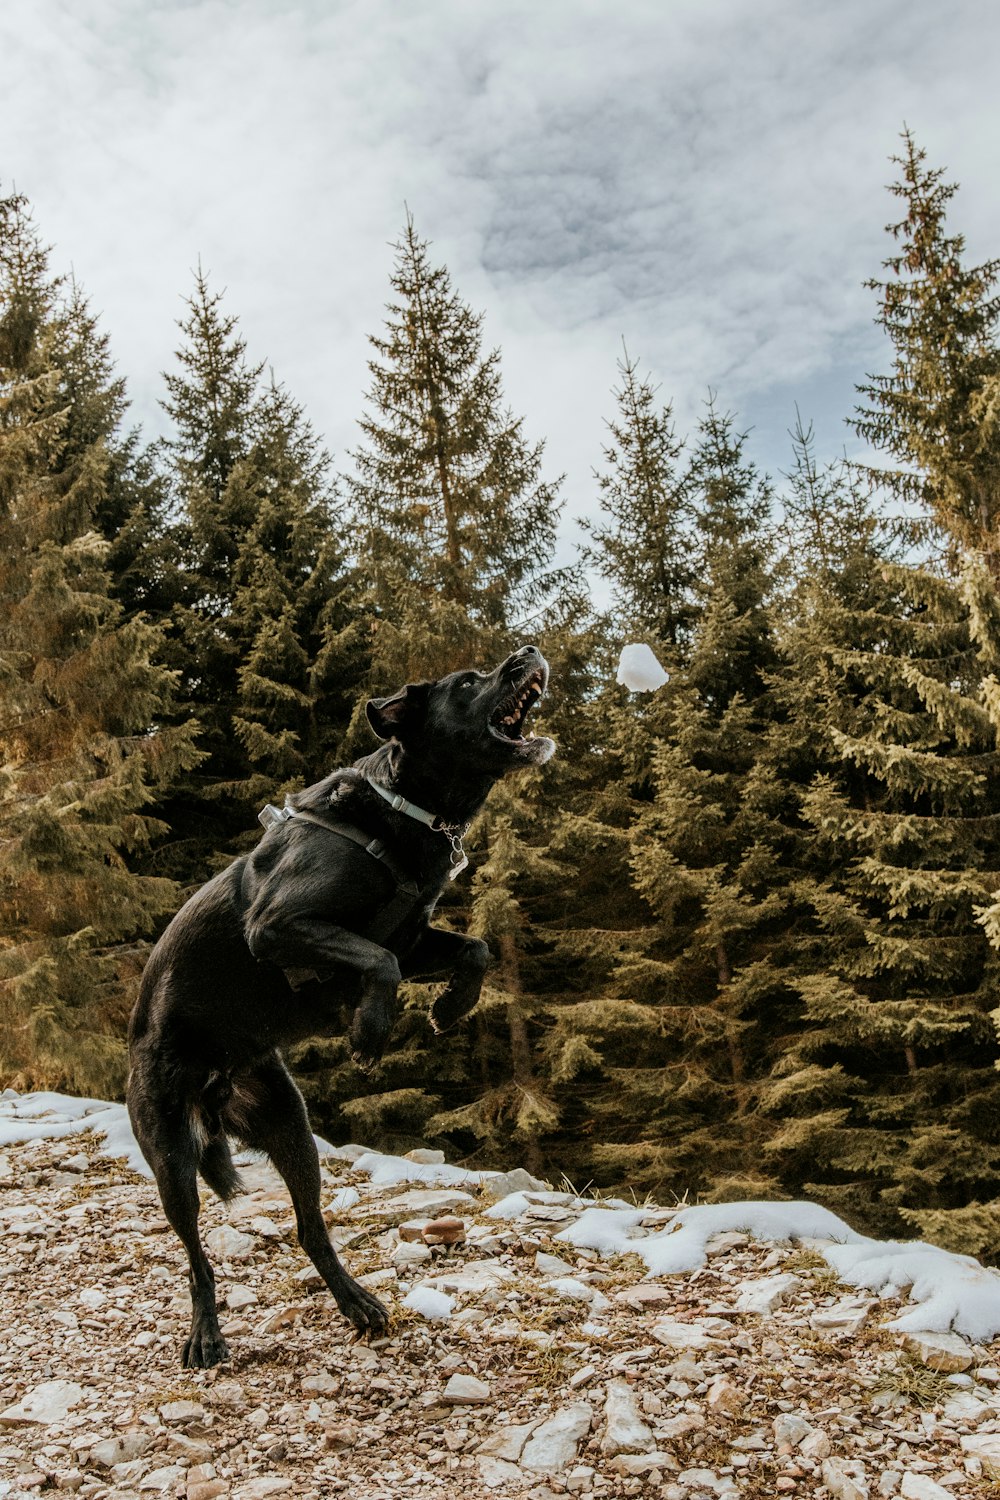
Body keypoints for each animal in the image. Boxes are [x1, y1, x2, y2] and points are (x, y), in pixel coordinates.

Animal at [127, 639, 554, 1368]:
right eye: (470, 681)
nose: (528, 647)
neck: (404, 806)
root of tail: (215, 1084)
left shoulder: (413, 936)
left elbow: (473, 949)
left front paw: (450, 1008)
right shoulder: (278, 926)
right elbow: (377, 963)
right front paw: (368, 1033)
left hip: (291, 1130)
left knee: (310, 1228)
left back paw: (356, 1302)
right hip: (171, 1155)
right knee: (195, 1255)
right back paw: (205, 1334)